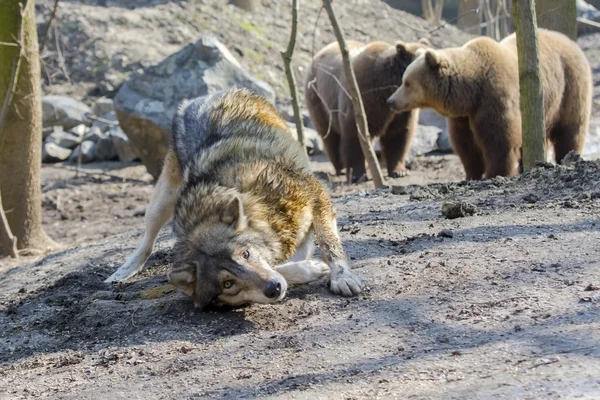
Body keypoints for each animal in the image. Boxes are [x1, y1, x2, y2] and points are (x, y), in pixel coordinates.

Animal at [308, 38, 428, 182]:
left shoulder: (402, 111)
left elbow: (398, 134)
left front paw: (399, 171)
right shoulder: (363, 96)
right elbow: (355, 134)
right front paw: (357, 174)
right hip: (319, 99)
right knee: (330, 135)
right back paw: (340, 167)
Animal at [386, 30, 592, 180]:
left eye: (407, 83)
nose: (391, 101)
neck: (471, 90)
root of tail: (571, 42)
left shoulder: (494, 98)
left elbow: (499, 140)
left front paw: (495, 173)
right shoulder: (463, 116)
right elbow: (466, 144)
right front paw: (471, 175)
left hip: (570, 86)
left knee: (570, 130)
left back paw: (567, 157)